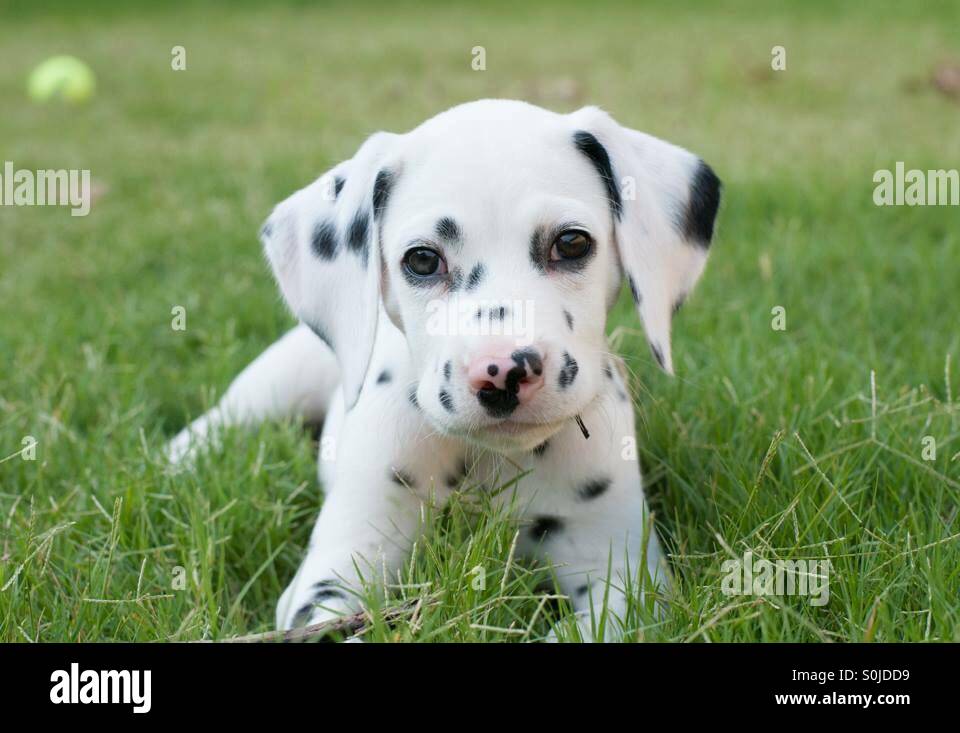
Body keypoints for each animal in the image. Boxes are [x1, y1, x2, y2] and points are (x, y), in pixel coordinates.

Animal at [167, 98, 720, 640]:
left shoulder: (627, 578)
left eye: (571, 243)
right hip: (281, 380)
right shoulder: (338, 568)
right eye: (422, 259)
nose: (503, 373)